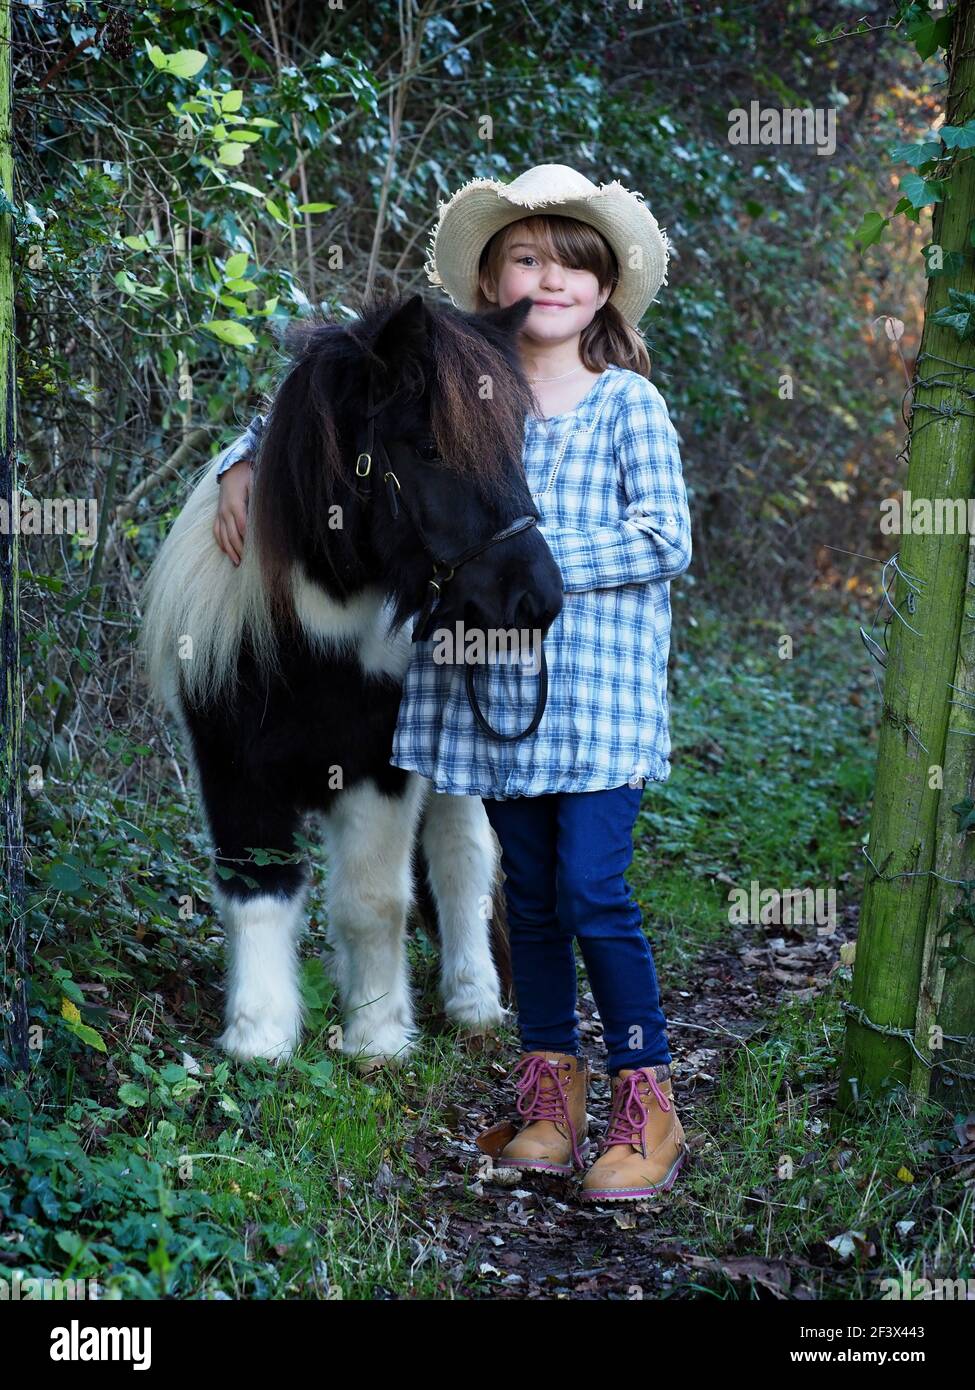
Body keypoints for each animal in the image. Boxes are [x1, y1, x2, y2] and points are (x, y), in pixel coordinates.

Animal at [137, 293, 561, 1067]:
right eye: (428, 447)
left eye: (514, 445)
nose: (536, 601)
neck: (306, 643)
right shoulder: (230, 769)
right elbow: (256, 888)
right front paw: (260, 1034)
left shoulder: (377, 770)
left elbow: (373, 900)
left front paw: (376, 1034)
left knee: (462, 860)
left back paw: (473, 1000)